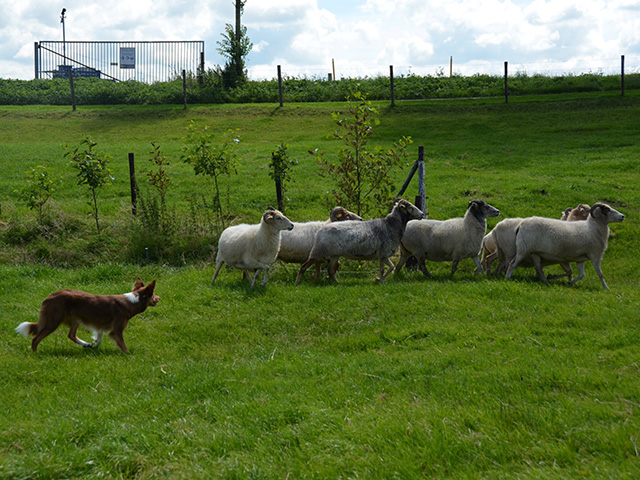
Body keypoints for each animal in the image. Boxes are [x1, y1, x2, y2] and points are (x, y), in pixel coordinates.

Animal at [15, 278, 159, 353]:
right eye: (153, 294)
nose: (159, 298)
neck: (133, 300)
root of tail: (48, 297)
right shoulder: (116, 330)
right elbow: (123, 345)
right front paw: (128, 355)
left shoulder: (101, 325)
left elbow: (99, 338)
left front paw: (93, 345)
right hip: (53, 322)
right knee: (35, 339)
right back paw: (35, 353)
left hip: (75, 320)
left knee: (71, 335)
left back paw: (85, 344)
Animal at [295, 199, 423, 284]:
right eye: (410, 207)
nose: (422, 214)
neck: (390, 226)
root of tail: (320, 230)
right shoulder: (383, 253)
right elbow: (384, 269)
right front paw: (380, 280)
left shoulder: (383, 255)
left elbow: (390, 267)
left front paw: (379, 279)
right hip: (318, 252)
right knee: (303, 267)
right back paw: (297, 283)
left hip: (335, 255)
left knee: (330, 270)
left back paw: (337, 283)